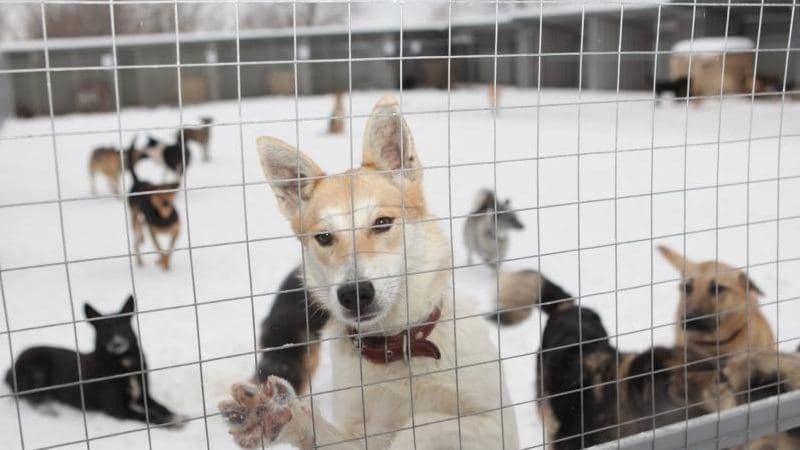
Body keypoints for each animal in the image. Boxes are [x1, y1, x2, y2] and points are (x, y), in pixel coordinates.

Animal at [6, 298, 184, 428]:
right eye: (105, 329)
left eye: (123, 326)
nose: (117, 343)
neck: (123, 364)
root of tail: (12, 365)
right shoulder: (118, 409)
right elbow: (147, 415)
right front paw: (171, 423)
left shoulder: (144, 396)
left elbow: (161, 407)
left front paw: (177, 415)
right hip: (37, 368)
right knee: (32, 398)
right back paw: (49, 410)